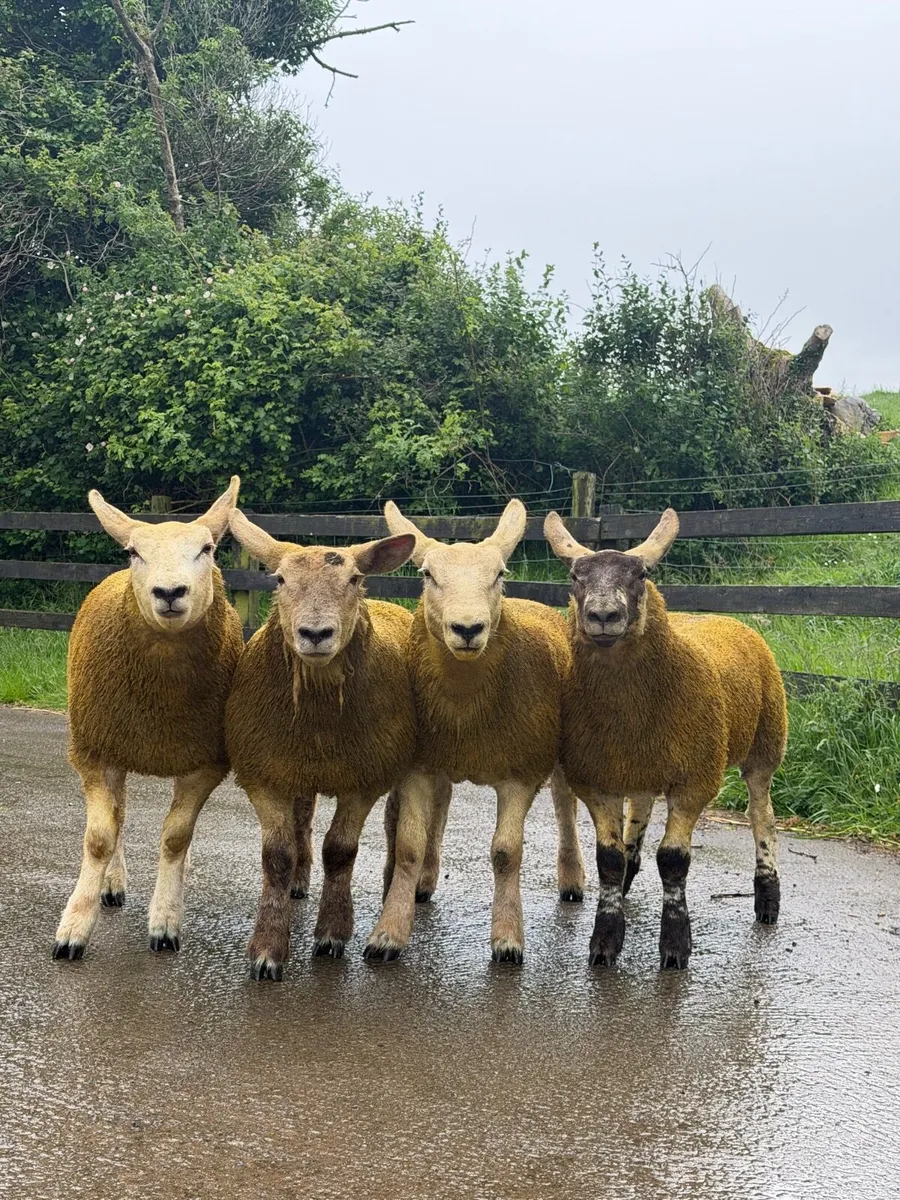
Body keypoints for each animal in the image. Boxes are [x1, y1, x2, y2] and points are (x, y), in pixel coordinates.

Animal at [53, 477, 244, 961]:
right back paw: (111, 885)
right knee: (118, 814)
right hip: (113, 742)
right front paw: (74, 928)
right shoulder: (94, 752)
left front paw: (165, 922)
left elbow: (175, 837)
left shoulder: (204, 762)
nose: (170, 592)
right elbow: (99, 837)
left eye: (207, 549)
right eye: (133, 552)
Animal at [224, 509, 418, 980]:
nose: (315, 634)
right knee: (303, 818)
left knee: (394, 823)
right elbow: (276, 855)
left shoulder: (364, 777)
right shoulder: (266, 772)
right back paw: (298, 882)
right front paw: (267, 949)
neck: (319, 719)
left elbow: (341, 852)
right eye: (279, 579)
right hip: (296, 766)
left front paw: (332, 933)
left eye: (354, 579)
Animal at [365, 500, 585, 965]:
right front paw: (388, 933)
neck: (469, 707)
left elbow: (506, 853)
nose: (467, 629)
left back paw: (572, 879)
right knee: (443, 806)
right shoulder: (419, 765)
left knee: (564, 804)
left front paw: (507, 939)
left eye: (499, 573)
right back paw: (425, 883)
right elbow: (409, 846)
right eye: (427, 574)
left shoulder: (520, 770)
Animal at [544, 507, 788, 970]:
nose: (603, 615)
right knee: (638, 818)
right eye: (575, 576)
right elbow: (608, 859)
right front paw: (605, 941)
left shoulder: (695, 779)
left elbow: (673, 861)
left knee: (762, 816)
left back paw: (767, 899)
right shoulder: (597, 778)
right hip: (643, 767)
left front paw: (675, 946)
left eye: (642, 574)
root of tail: (724, 618)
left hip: (766, 743)